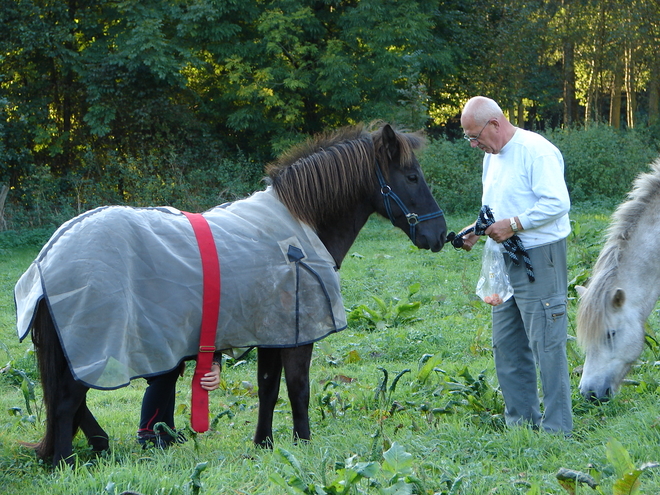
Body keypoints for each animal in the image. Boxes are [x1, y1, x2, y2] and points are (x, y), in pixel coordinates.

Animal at [25, 122, 448, 466]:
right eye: (412, 177)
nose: (440, 234)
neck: (298, 227)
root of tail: (50, 255)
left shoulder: (274, 334)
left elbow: (268, 388)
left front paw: (264, 443)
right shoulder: (298, 336)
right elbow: (298, 389)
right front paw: (304, 444)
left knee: (71, 401)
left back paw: (100, 445)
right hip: (93, 347)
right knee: (66, 401)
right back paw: (65, 461)